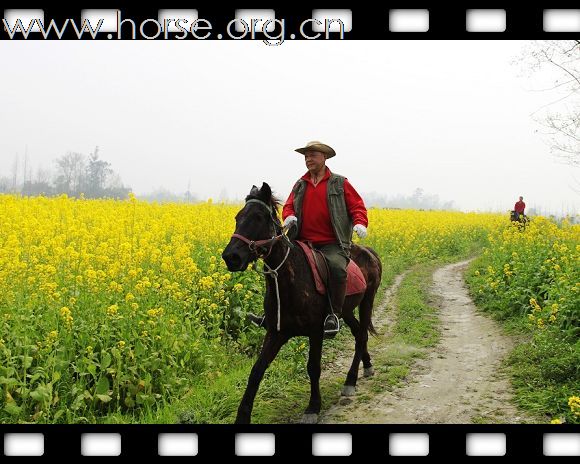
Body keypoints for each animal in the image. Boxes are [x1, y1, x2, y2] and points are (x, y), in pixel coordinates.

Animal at [221, 182, 380, 424]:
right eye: (238, 217)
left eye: (259, 218)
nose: (231, 257)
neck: (287, 279)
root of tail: (370, 252)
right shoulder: (276, 333)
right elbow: (256, 371)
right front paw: (242, 416)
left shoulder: (316, 331)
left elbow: (313, 367)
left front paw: (313, 407)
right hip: (345, 310)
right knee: (357, 334)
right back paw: (368, 365)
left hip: (367, 302)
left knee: (361, 336)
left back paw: (350, 381)